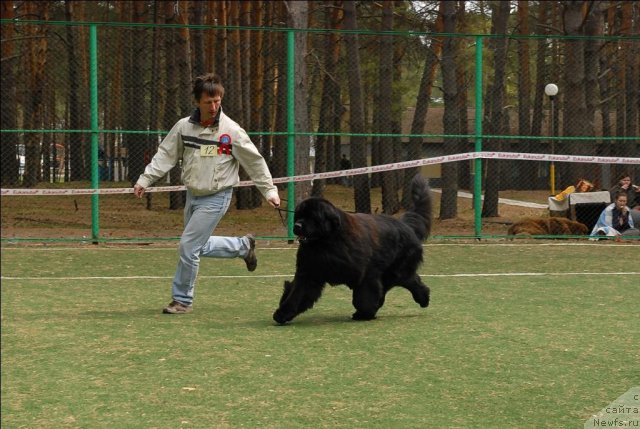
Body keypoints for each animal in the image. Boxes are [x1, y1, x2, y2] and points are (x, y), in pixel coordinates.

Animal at [272, 172, 432, 322]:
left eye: (312, 217)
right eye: (298, 216)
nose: (297, 225)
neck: (327, 243)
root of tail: (406, 225)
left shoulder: (366, 274)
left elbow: (364, 297)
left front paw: (364, 313)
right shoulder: (309, 272)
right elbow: (297, 294)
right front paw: (282, 313)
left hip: (397, 270)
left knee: (409, 280)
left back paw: (423, 298)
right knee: (408, 280)